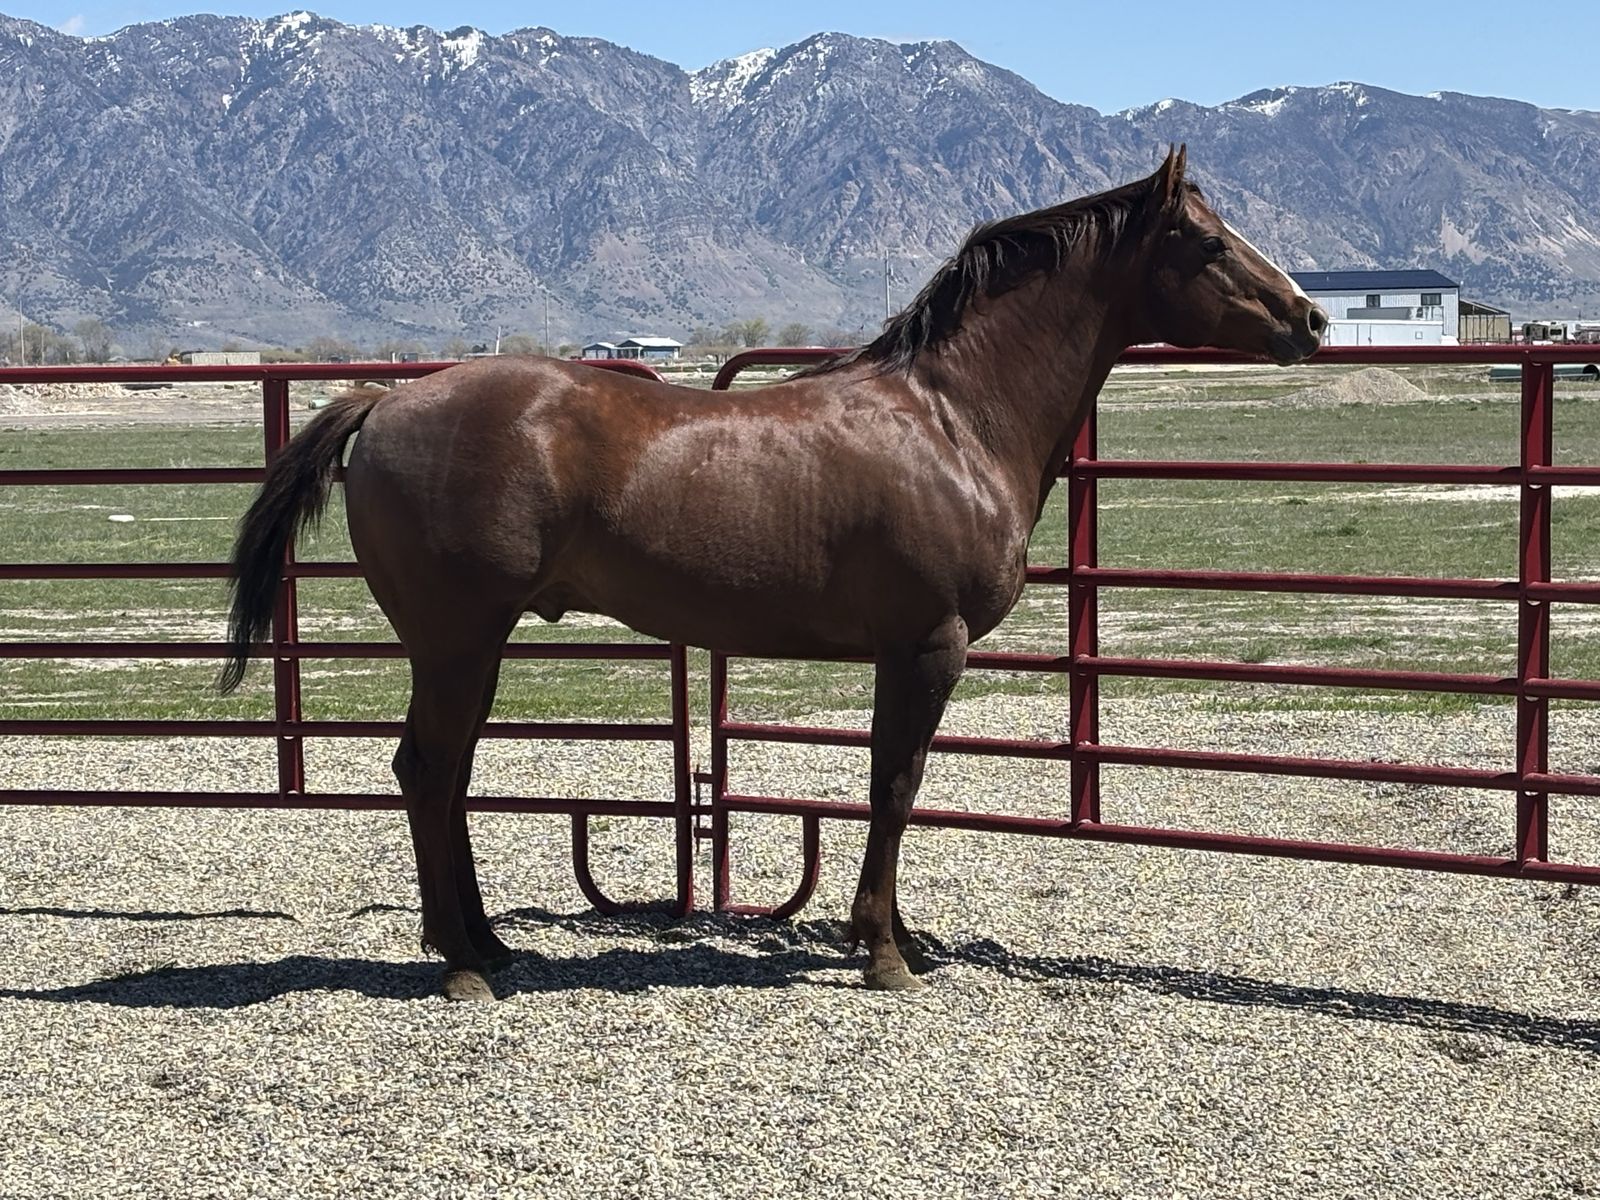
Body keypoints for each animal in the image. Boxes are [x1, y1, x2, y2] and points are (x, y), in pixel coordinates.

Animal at [222, 147, 1326, 1001]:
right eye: (1206, 241)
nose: (1310, 320)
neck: (950, 420)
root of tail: (388, 402)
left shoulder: (907, 653)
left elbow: (891, 784)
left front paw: (898, 938)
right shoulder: (926, 648)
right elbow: (895, 784)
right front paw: (884, 953)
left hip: (471, 648)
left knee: (446, 776)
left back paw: (489, 945)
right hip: (457, 642)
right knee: (426, 771)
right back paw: (460, 966)